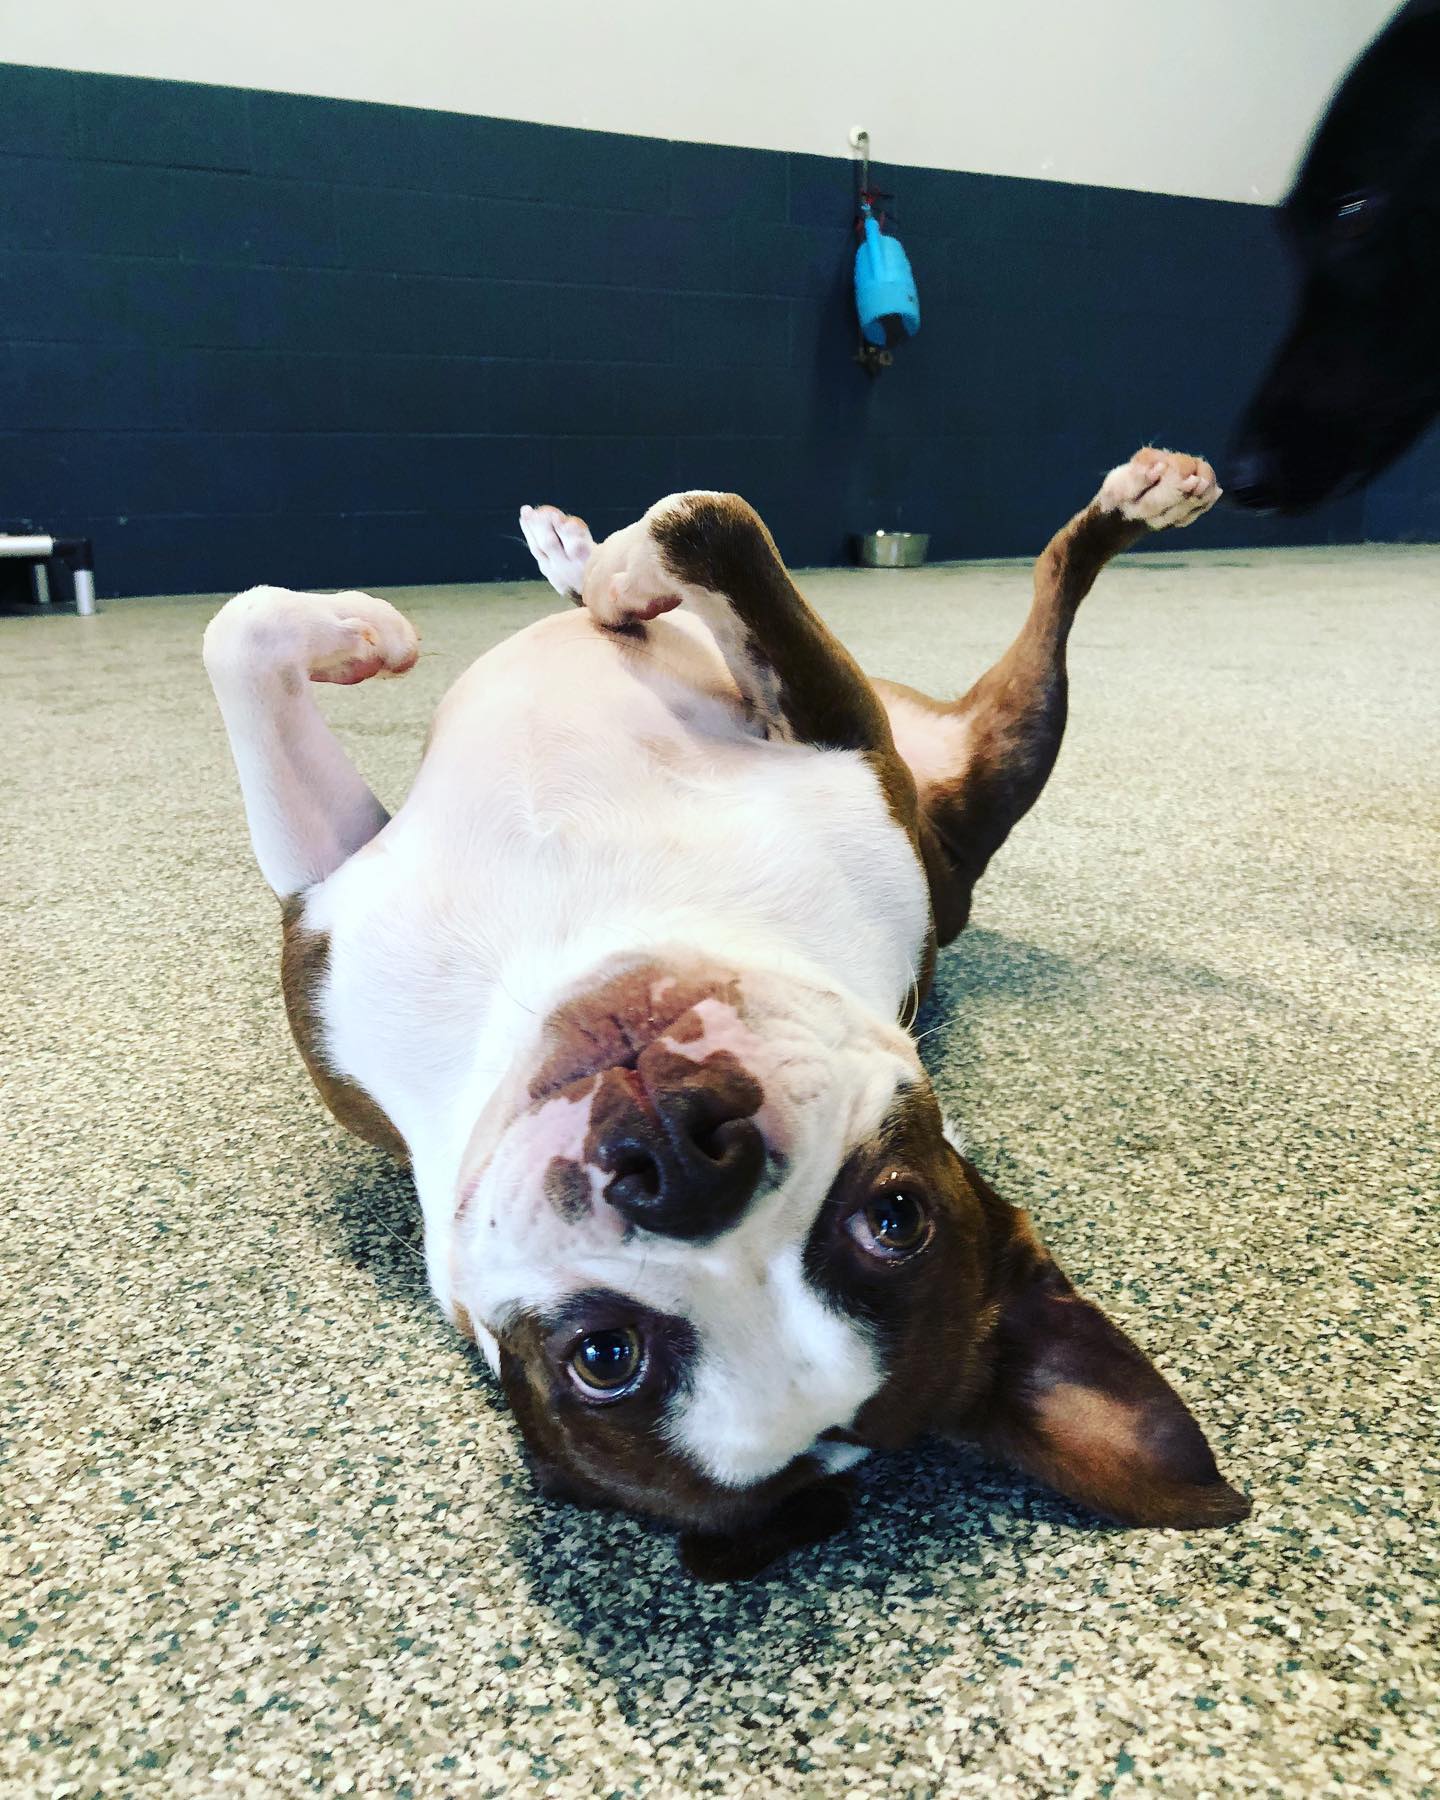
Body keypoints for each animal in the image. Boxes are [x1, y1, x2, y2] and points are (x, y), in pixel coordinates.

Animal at [202, 446, 1245, 1576]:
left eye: (896, 1218)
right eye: (604, 1358)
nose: (688, 1168)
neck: (589, 927)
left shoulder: (836, 728)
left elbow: (704, 521)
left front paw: (594, 587)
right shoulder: (334, 909)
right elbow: (241, 628)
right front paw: (386, 629)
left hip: (990, 760)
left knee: (1052, 588)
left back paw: (1143, 498)